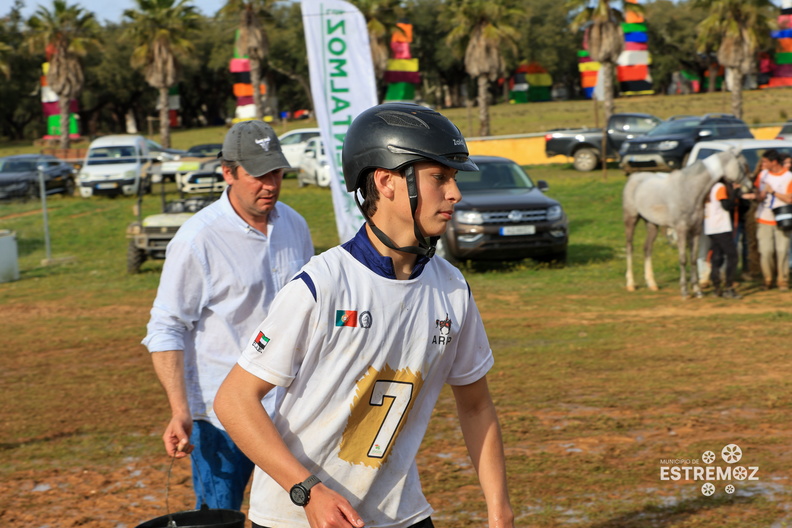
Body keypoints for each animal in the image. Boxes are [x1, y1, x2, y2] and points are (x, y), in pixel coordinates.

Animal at [620, 150, 752, 296]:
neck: (688, 190)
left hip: (651, 224)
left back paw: (652, 284)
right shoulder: (681, 231)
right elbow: (683, 260)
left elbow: (693, 259)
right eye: (742, 165)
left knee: (647, 248)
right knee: (630, 248)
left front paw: (697, 290)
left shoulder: (695, 231)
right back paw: (631, 284)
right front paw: (684, 291)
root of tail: (634, 177)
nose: (749, 187)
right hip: (630, 220)